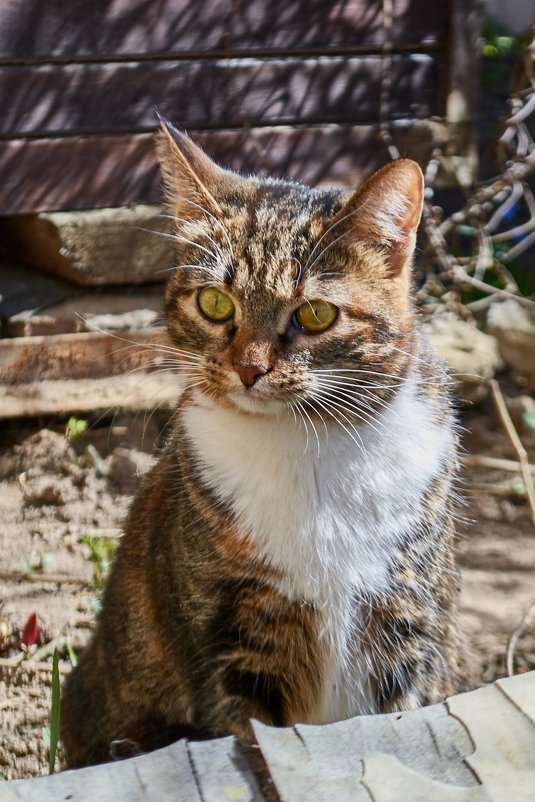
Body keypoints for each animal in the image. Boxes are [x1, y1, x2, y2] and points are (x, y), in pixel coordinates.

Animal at [60, 122, 462, 764]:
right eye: (215, 303)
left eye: (316, 314)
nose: (248, 368)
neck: (306, 447)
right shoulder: (231, 636)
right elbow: (248, 732)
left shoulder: (408, 624)